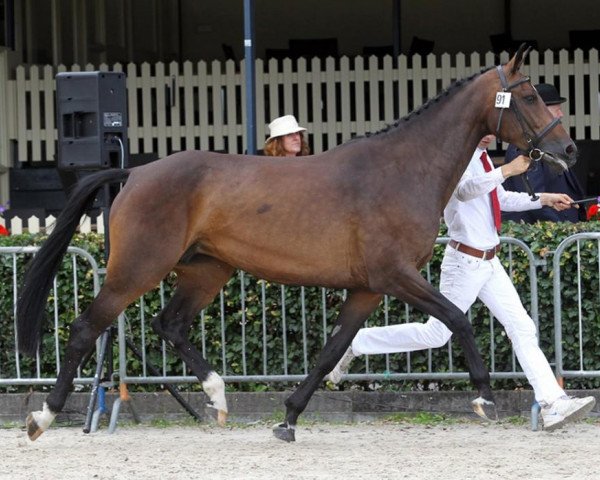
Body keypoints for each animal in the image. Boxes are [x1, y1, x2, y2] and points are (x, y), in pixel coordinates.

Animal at [16, 46, 576, 442]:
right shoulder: (396, 275)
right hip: (137, 268)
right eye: (528, 96)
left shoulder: (368, 288)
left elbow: (331, 350)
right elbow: (458, 319)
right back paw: (43, 416)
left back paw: (218, 398)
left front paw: (288, 418)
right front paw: (484, 397)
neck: (402, 169)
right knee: (86, 328)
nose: (568, 148)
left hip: (206, 269)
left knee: (169, 324)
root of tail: (133, 173)